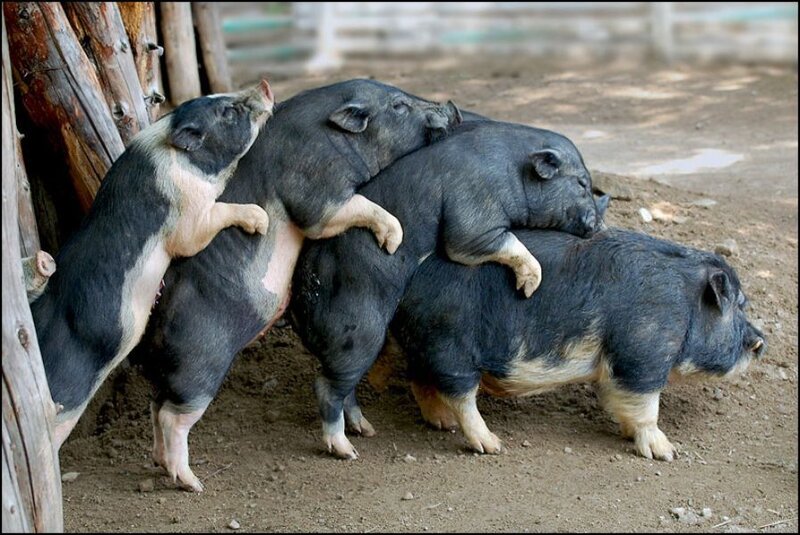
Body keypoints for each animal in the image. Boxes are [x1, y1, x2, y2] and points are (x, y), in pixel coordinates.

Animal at [130, 79, 462, 491]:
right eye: (399, 106)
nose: (452, 107)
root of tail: (151, 337)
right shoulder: (317, 191)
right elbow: (347, 209)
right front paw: (393, 240)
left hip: (170, 375)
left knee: (155, 406)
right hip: (199, 364)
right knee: (172, 416)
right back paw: (195, 483)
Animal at [289, 119, 608, 460]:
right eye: (581, 183)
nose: (598, 226)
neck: (510, 170)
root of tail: (301, 306)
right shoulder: (474, 220)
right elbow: (486, 243)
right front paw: (530, 286)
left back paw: (366, 430)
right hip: (358, 330)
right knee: (328, 386)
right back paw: (347, 450)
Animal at [392, 227, 766, 460]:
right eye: (739, 305)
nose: (761, 342)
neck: (685, 307)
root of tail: (410, 282)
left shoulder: (616, 368)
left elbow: (620, 402)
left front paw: (630, 435)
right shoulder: (642, 354)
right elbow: (647, 408)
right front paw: (667, 453)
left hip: (425, 346)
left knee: (421, 382)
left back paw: (442, 422)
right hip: (450, 346)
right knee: (461, 396)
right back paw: (492, 445)